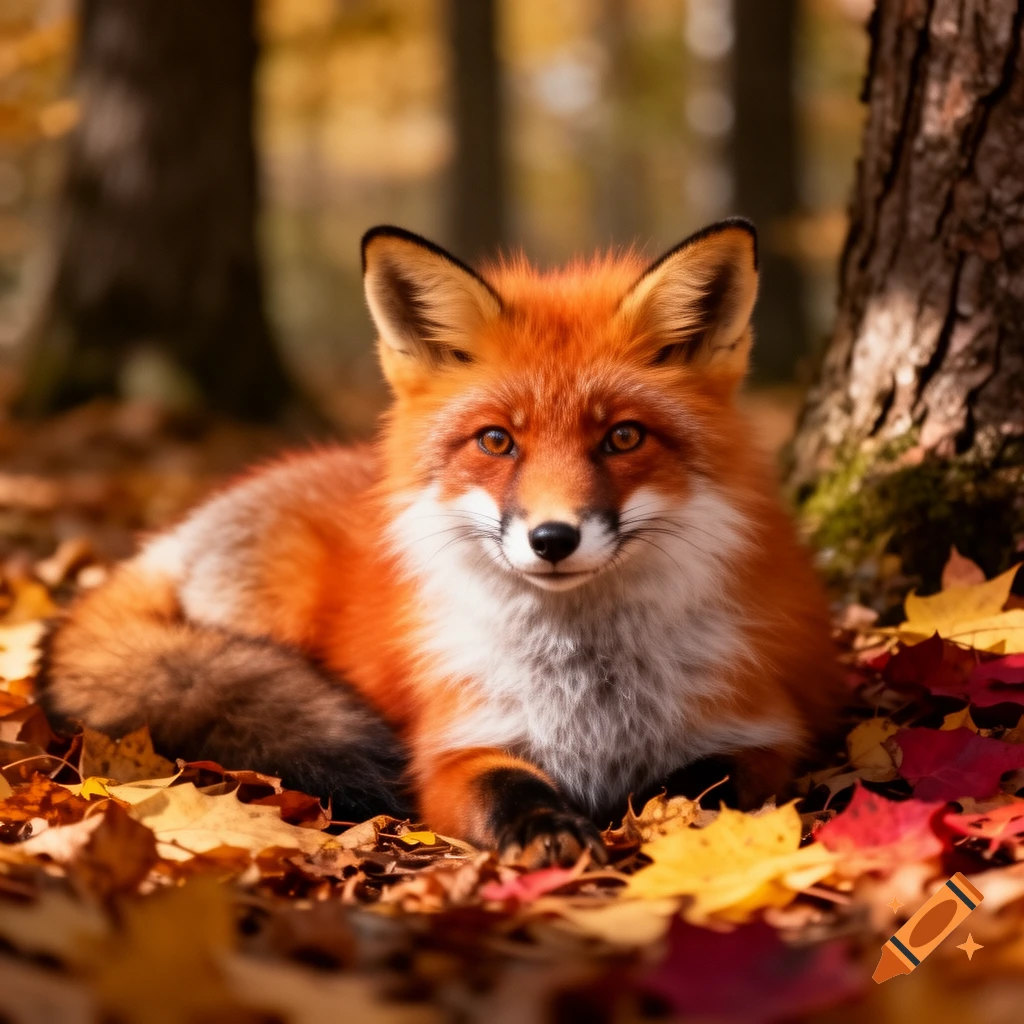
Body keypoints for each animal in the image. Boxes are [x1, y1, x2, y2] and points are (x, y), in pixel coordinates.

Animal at [36, 220, 842, 867]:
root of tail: (174, 534)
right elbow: (507, 787)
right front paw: (551, 826)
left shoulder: (765, 730)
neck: (590, 695)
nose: (553, 538)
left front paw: (658, 814)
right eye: (496, 441)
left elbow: (705, 788)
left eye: (622, 437)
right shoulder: (455, 746)